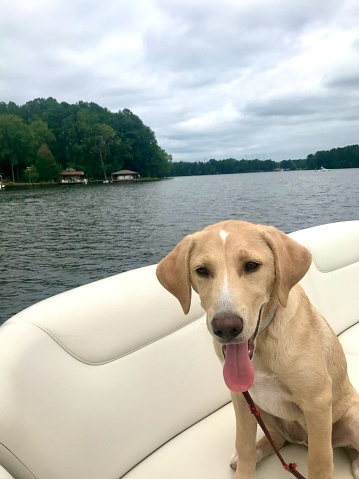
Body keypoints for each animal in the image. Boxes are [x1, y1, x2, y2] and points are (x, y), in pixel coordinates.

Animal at [157, 221, 359, 479]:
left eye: (251, 265)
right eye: (202, 270)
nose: (226, 328)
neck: (262, 348)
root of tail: (301, 440)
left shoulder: (318, 403)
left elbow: (320, 461)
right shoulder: (241, 400)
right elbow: (243, 445)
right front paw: (244, 468)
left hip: (351, 418)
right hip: (265, 412)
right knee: (277, 440)